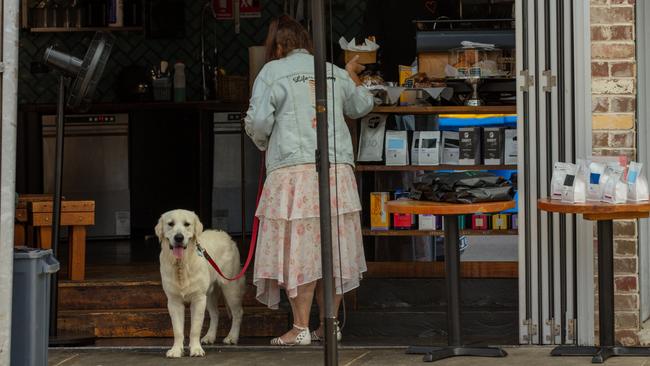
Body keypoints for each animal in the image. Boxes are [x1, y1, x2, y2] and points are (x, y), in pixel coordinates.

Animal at [156, 209, 244, 358]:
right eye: (170, 224)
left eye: (187, 224)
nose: (179, 237)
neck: (182, 264)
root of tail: (226, 236)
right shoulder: (174, 301)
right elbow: (177, 330)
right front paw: (176, 350)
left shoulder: (198, 299)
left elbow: (195, 329)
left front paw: (196, 349)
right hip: (209, 294)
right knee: (215, 314)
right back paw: (209, 337)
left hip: (230, 287)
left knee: (238, 312)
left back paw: (232, 337)